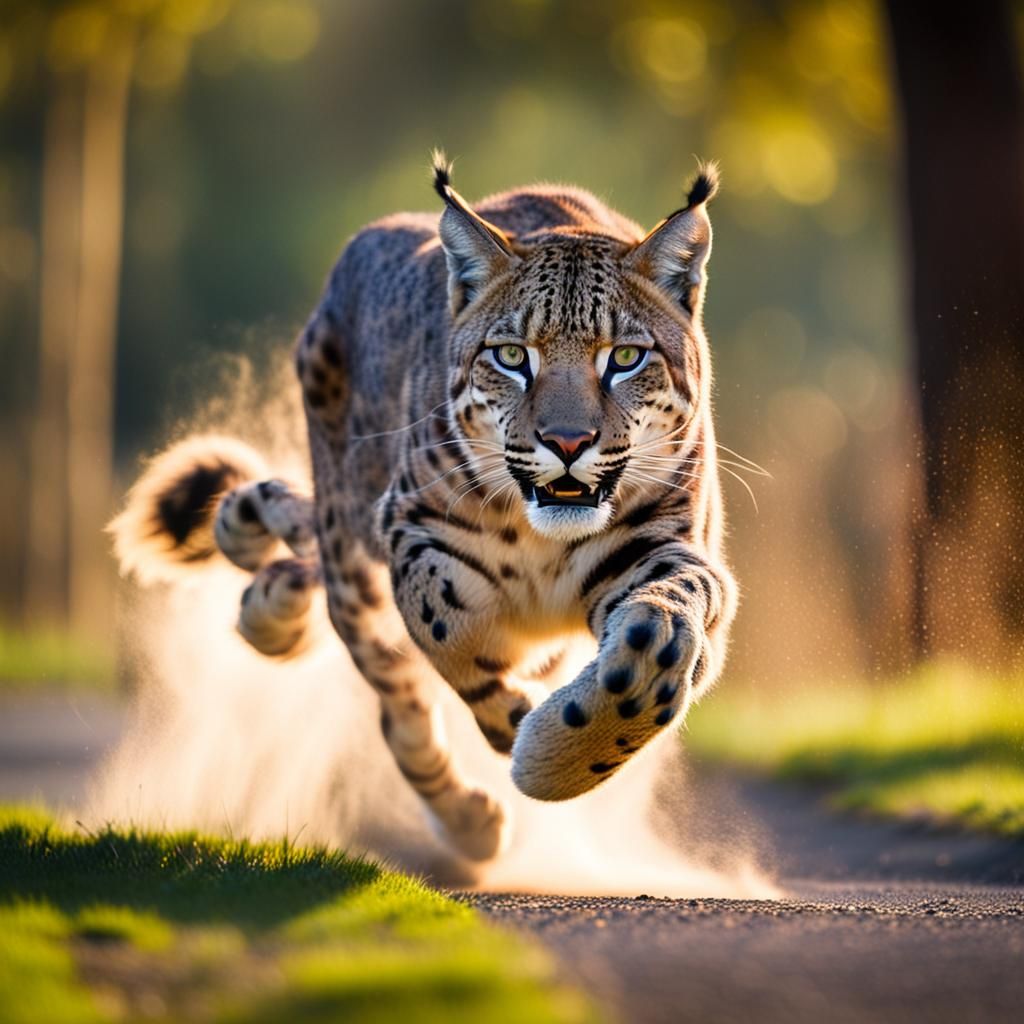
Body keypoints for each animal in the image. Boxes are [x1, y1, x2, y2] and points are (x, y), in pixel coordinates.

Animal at [110, 153, 738, 862]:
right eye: (512, 356)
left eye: (627, 358)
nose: (568, 443)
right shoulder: (409, 524)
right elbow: (447, 626)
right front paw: (522, 724)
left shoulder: (671, 549)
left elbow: (658, 640)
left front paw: (560, 757)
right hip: (353, 552)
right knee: (394, 698)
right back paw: (469, 820)